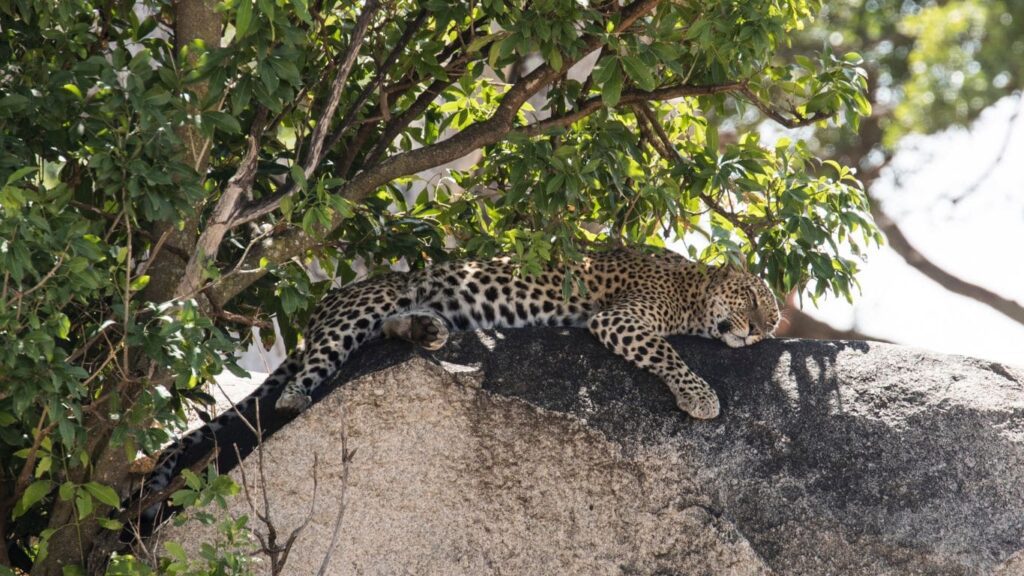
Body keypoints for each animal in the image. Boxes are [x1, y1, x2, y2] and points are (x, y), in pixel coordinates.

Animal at [132, 248, 778, 531]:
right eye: (752, 298)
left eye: (773, 315)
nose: (764, 330)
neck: (693, 290)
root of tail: (325, 304)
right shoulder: (621, 320)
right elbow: (669, 355)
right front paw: (702, 398)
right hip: (369, 303)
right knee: (311, 371)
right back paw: (302, 395)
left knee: (390, 332)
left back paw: (430, 330)